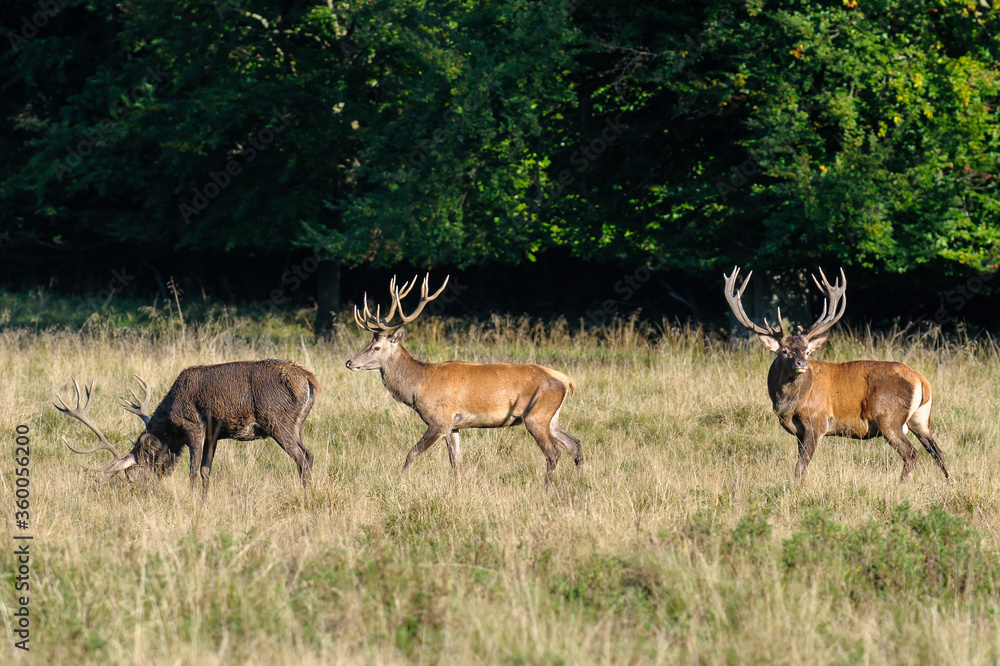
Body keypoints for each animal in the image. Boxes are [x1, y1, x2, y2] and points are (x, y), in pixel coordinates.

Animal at [54, 359, 321, 495]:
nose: (142, 491)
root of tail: (309, 381)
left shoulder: (195, 427)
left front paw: (191, 502)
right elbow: (205, 471)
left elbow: (192, 471)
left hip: (277, 421)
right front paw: (204, 503)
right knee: (309, 454)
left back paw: (305, 497)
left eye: (130, 476)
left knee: (302, 457)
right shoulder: (214, 435)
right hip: (297, 424)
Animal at [345, 274, 583, 486]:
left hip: (536, 415)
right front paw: (458, 487)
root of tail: (566, 380)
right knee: (576, 445)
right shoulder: (454, 426)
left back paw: (545, 488)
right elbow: (456, 461)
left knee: (554, 453)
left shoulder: (439, 420)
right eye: (368, 343)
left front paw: (399, 482)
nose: (349, 362)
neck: (418, 386)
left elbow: (412, 453)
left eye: (376, 347)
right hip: (551, 418)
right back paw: (580, 481)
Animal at [723, 266, 950, 483]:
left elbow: (800, 467)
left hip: (888, 417)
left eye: (807, 351)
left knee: (911, 454)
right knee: (938, 452)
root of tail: (921, 381)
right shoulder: (799, 432)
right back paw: (950, 483)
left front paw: (799, 488)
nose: (802, 363)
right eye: (784, 351)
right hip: (920, 419)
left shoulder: (817, 421)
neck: (789, 404)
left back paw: (901, 485)